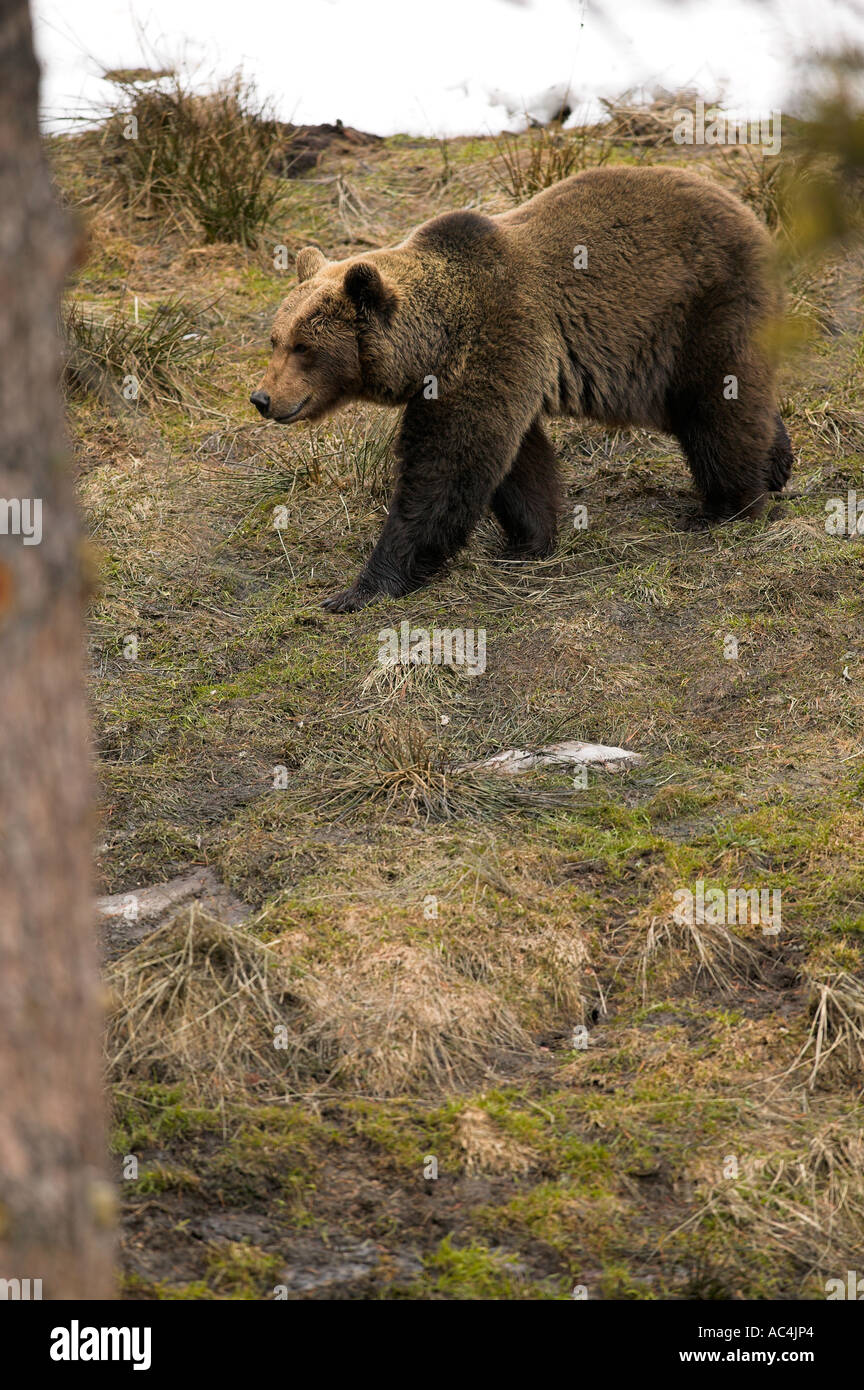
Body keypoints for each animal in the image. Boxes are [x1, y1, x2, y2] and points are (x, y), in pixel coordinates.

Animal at [251, 165, 792, 612]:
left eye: (304, 347)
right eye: (275, 339)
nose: (262, 398)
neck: (435, 339)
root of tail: (742, 207)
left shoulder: (495, 338)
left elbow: (449, 466)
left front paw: (362, 587)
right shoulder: (501, 369)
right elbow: (516, 464)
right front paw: (526, 542)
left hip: (697, 308)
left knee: (716, 402)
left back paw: (727, 508)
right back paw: (777, 464)